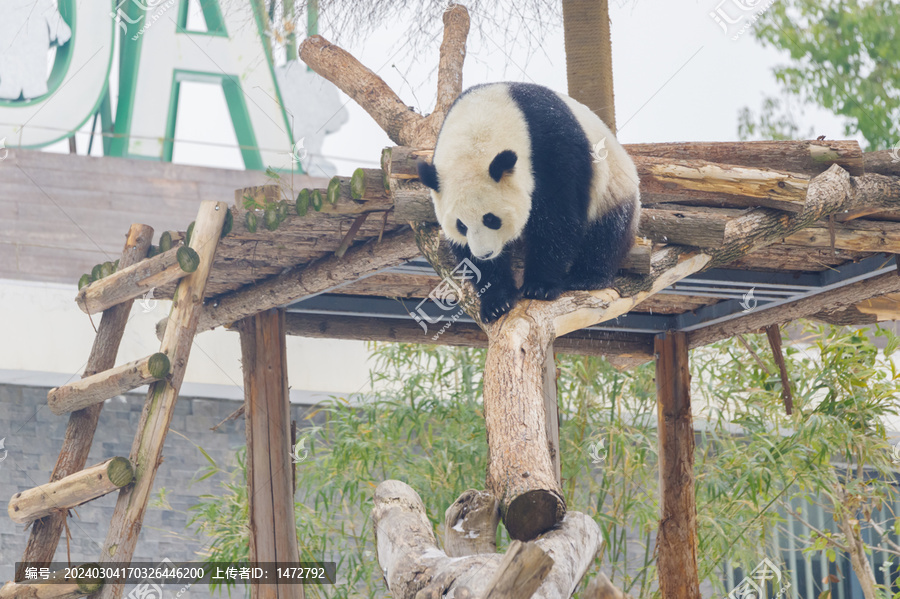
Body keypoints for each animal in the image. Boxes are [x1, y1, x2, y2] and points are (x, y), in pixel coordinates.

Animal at [416, 81, 640, 324]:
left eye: (491, 219)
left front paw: (540, 287)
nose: (485, 254)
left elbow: (557, 219)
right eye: (461, 225)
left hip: (614, 186)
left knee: (607, 232)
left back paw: (587, 277)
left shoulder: (550, 146)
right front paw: (497, 302)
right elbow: (468, 257)